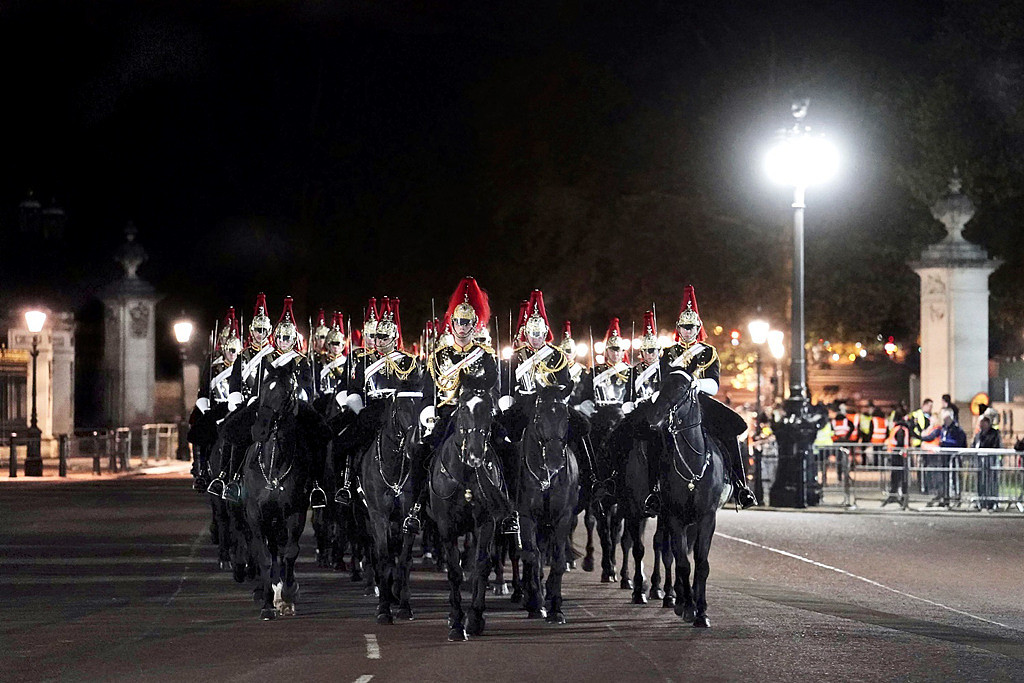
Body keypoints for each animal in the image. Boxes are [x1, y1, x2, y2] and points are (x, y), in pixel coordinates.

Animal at [239, 366, 323, 622]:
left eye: (286, 395)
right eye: (264, 389)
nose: (260, 430)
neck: (274, 465)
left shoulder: (294, 512)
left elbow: (291, 553)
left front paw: (287, 596)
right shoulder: (256, 515)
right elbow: (265, 557)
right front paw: (268, 605)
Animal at [360, 387, 423, 622]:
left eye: (420, 405)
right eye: (401, 408)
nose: (415, 444)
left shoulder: (407, 517)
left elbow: (404, 560)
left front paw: (404, 606)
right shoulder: (379, 517)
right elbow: (384, 558)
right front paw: (383, 609)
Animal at [428, 389, 516, 643]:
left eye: (489, 410)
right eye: (462, 409)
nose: (475, 454)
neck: (466, 476)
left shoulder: (486, 523)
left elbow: (481, 566)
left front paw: (475, 618)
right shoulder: (446, 527)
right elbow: (454, 572)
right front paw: (457, 624)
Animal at [512, 385, 577, 626]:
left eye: (566, 416)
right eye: (539, 416)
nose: (555, 460)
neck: (546, 478)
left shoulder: (563, 518)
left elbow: (558, 560)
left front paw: (556, 608)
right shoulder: (526, 517)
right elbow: (532, 555)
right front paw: (536, 602)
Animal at [647, 366, 729, 626]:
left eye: (682, 388)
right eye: (661, 384)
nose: (653, 417)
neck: (692, 464)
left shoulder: (707, 518)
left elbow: (701, 563)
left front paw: (702, 611)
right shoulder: (674, 517)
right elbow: (682, 562)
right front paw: (688, 607)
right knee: (667, 550)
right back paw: (675, 597)